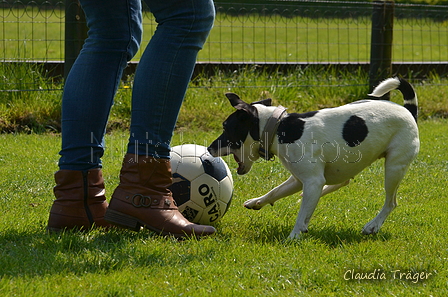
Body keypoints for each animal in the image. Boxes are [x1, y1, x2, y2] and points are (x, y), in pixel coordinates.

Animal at [209, 77, 420, 238]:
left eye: (226, 127)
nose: (210, 148)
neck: (280, 128)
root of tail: (409, 110)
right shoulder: (298, 179)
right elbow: (276, 192)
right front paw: (257, 202)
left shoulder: (312, 181)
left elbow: (301, 215)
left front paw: (294, 235)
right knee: (342, 180)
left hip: (394, 168)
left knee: (391, 202)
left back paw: (373, 225)